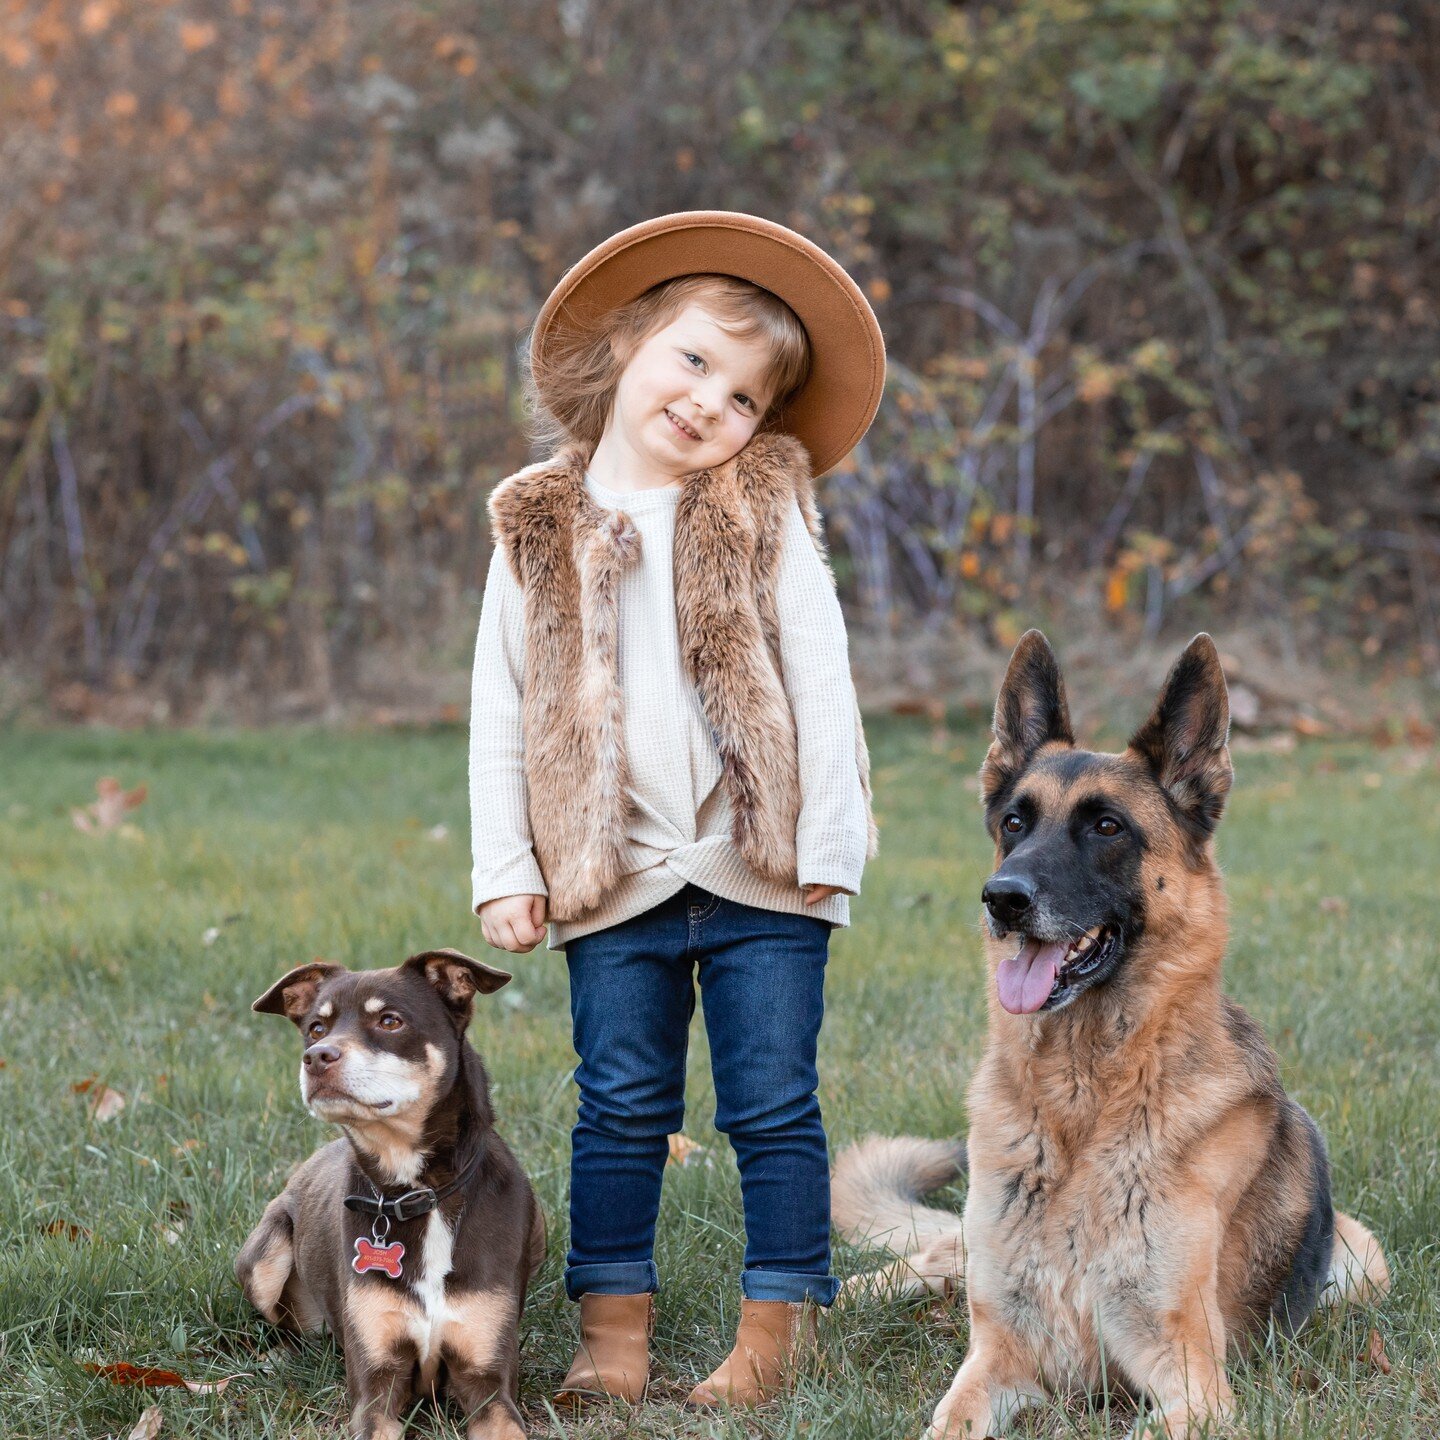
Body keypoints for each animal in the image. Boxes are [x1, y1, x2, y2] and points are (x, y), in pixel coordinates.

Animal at [236, 950, 544, 1440]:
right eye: (316, 1028)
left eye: (390, 1020)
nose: (316, 1057)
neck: (419, 1193)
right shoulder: (377, 1382)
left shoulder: (488, 1381)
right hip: (262, 1260)